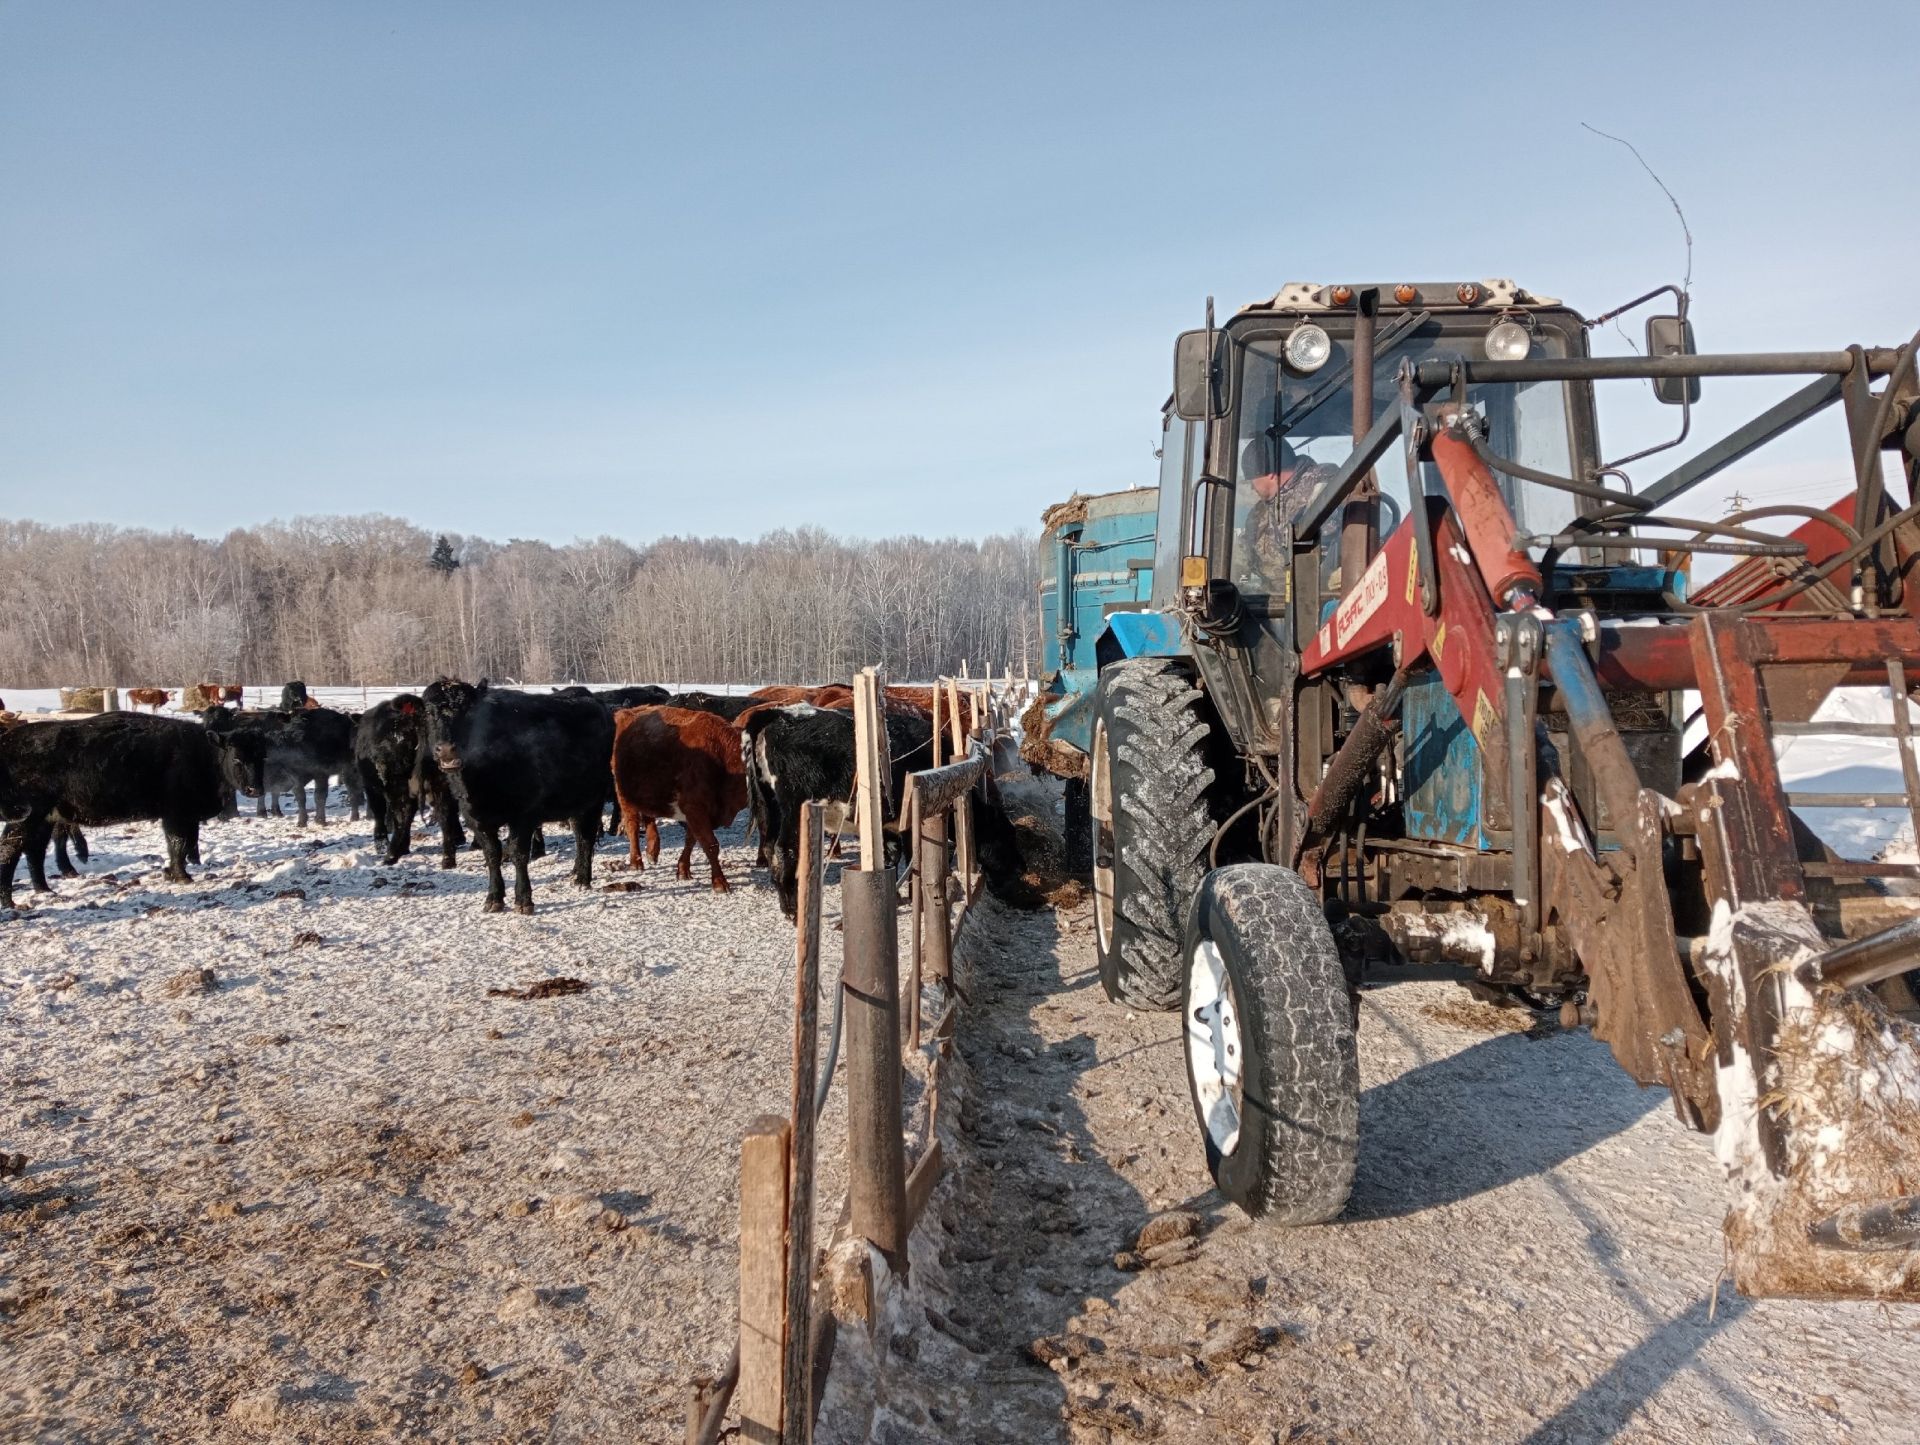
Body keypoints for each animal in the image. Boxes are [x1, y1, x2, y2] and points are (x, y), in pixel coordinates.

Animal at [0, 706, 247, 901]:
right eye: (234, 755)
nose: (251, 787)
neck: (203, 751)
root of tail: (9, 741)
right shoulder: (176, 814)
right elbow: (179, 844)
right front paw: (182, 876)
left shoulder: (187, 816)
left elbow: (186, 843)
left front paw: (176, 871)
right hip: (27, 816)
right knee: (11, 849)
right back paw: (11, 900)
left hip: (43, 818)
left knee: (35, 850)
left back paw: (45, 890)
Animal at [422, 679, 614, 913]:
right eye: (429, 711)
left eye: (470, 711)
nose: (447, 750)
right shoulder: (475, 817)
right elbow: (492, 854)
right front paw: (494, 897)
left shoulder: (524, 815)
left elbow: (518, 854)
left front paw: (523, 899)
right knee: (579, 834)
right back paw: (575, 872)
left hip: (593, 799)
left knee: (586, 837)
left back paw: (583, 879)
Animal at [610, 706, 744, 898]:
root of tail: (629, 711)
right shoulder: (695, 808)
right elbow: (710, 844)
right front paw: (720, 883)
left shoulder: (696, 812)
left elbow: (691, 840)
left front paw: (683, 869)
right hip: (625, 796)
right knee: (632, 825)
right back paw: (636, 861)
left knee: (649, 817)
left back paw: (652, 851)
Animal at [737, 706, 933, 917]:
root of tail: (776, 713)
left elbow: (891, 854)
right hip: (793, 809)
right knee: (784, 849)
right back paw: (792, 909)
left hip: (770, 809)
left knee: (769, 848)